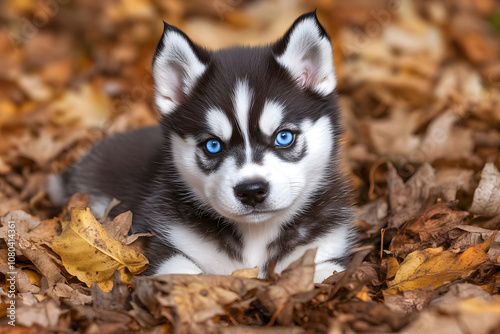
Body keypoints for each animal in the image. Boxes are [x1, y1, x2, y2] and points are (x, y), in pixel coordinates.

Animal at [48, 12, 358, 282]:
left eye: (283, 137)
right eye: (213, 145)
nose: (251, 191)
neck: (255, 235)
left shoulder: (326, 249)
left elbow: (322, 273)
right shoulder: (168, 244)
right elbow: (187, 275)